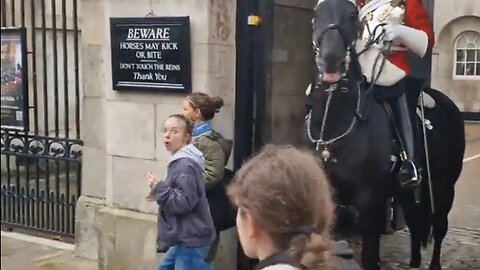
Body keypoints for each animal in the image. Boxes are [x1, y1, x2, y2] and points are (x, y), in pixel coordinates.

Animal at [306, 0, 466, 270]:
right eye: (317, 14)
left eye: (352, 15)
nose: (331, 61)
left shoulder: (369, 201)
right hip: (406, 192)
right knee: (415, 221)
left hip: (445, 186)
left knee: (438, 226)